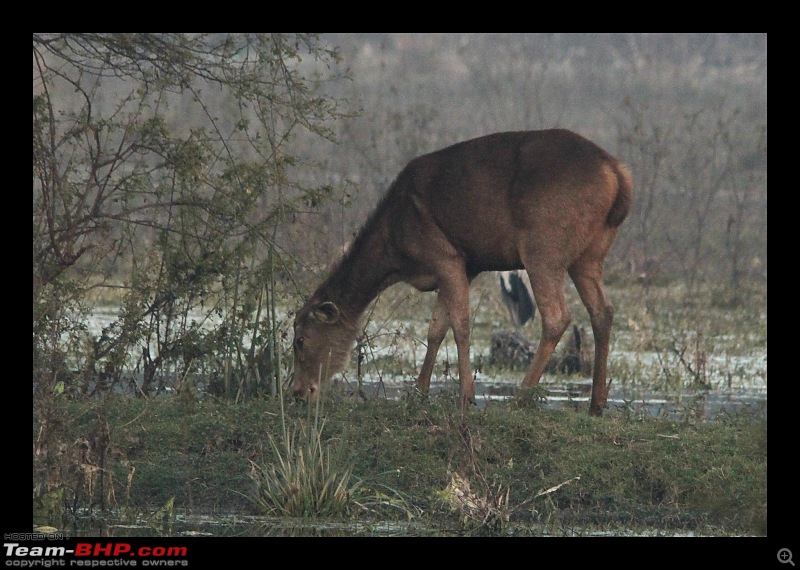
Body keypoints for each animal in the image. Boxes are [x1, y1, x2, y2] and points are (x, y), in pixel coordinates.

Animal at [290, 129, 632, 412]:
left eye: (300, 340)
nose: (299, 392)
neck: (396, 253)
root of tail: (618, 174)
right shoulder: (462, 268)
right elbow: (436, 327)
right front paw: (419, 390)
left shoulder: (445, 255)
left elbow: (461, 324)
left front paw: (466, 396)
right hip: (591, 253)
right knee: (603, 310)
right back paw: (597, 403)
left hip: (543, 246)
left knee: (557, 316)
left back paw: (520, 399)